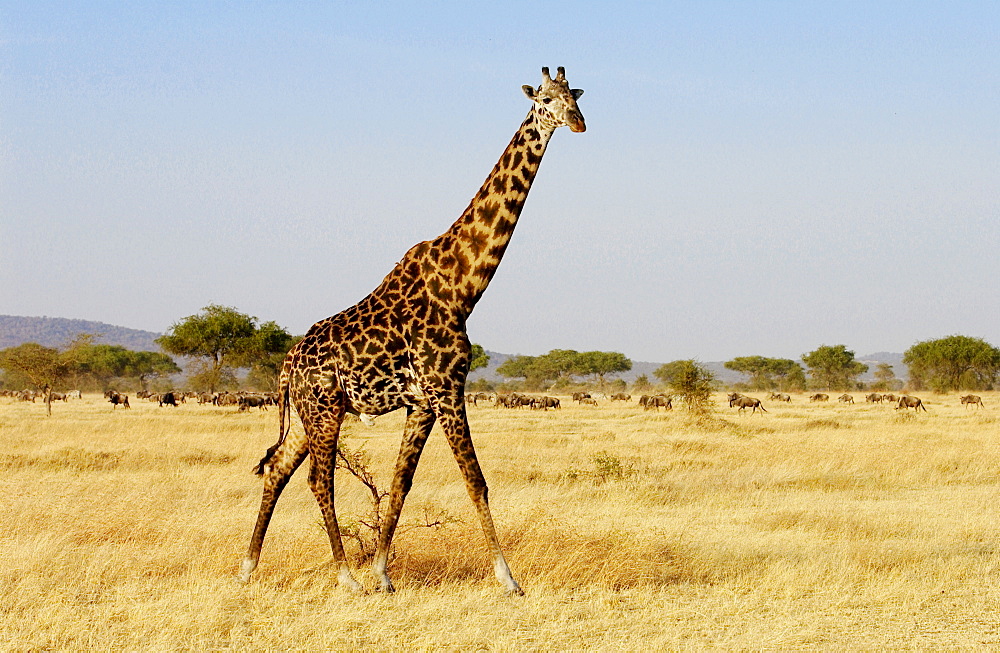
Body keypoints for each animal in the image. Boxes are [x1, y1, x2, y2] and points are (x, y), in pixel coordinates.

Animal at [240, 67, 584, 596]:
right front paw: (509, 580)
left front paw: (383, 574)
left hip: (304, 414)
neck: (464, 285)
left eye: (575, 95)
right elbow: (476, 480)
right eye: (544, 99)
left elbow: (402, 482)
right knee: (319, 479)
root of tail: (285, 366)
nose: (577, 122)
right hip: (325, 409)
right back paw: (344, 576)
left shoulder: (421, 402)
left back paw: (249, 566)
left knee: (277, 469)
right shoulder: (447, 387)